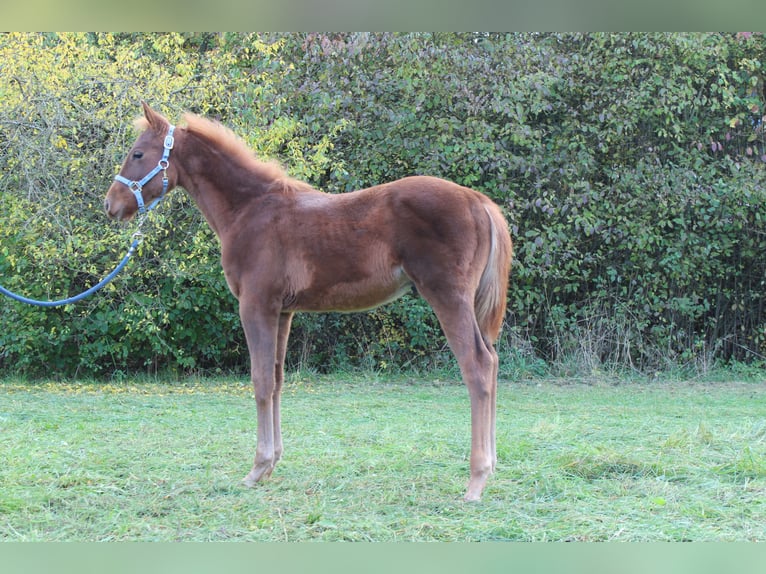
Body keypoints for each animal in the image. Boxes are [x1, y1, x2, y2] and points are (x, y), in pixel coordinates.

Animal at [104, 102, 513, 501]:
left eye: (137, 153)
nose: (111, 204)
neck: (249, 209)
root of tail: (478, 201)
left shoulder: (255, 305)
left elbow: (259, 380)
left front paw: (256, 468)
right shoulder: (283, 310)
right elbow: (277, 380)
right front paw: (272, 464)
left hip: (447, 295)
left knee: (477, 365)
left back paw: (476, 481)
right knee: (492, 362)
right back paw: (491, 467)